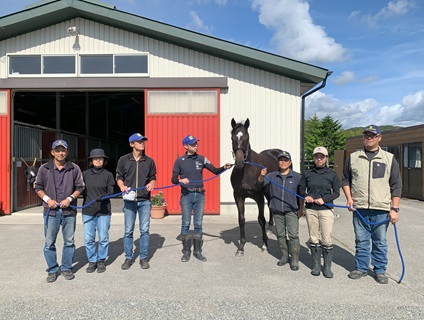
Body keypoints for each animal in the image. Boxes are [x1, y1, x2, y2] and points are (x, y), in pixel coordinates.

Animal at [230, 119, 280, 256]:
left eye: (247, 137)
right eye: (232, 138)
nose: (239, 162)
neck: (246, 171)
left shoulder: (259, 197)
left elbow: (261, 219)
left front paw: (264, 244)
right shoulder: (238, 196)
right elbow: (241, 219)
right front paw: (241, 247)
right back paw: (270, 229)